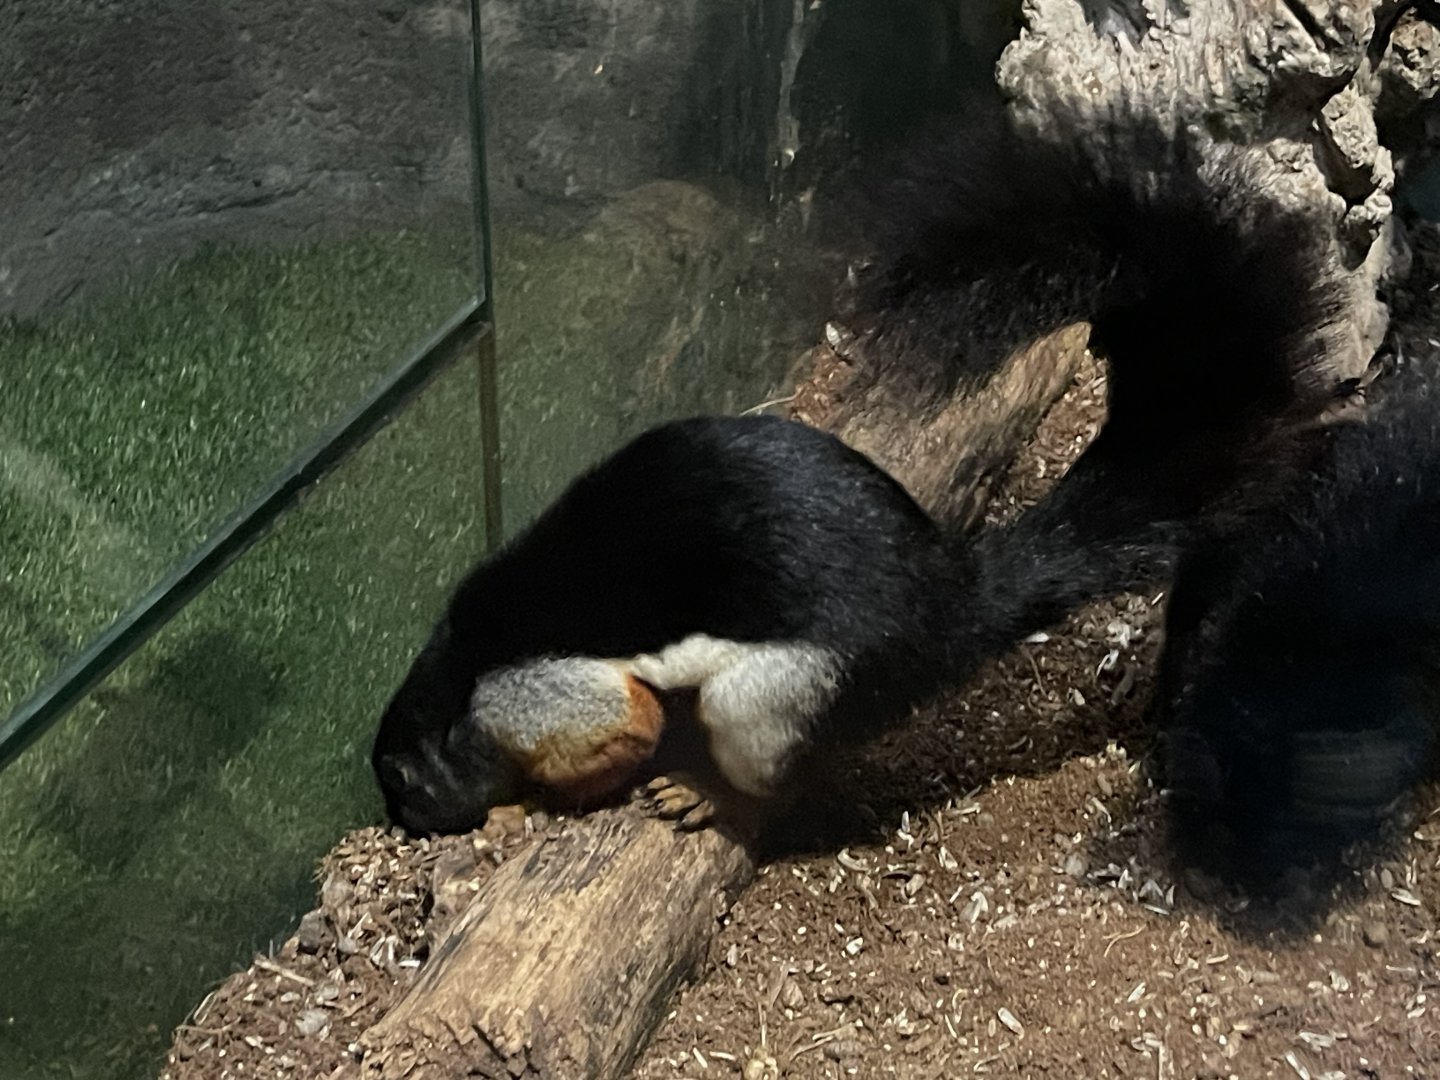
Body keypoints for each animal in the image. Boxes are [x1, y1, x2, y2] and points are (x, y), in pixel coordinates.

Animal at [373, 113, 1349, 836]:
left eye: (405, 783)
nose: (412, 821)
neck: (456, 672)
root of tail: (943, 605)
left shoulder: (547, 695)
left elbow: (627, 729)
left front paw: (543, 801)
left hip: (776, 690)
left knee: (769, 755)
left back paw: (709, 795)